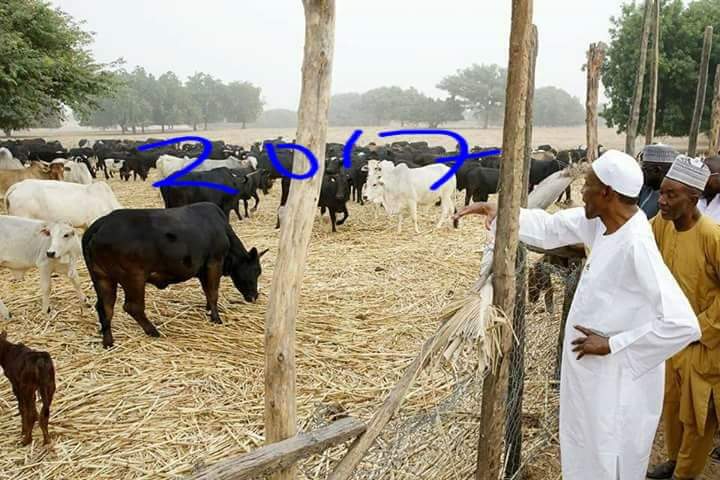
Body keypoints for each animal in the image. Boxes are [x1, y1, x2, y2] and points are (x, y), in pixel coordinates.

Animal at [82, 203, 268, 348]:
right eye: (256, 271)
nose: (254, 296)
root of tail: (101, 224)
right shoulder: (214, 263)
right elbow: (213, 292)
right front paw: (216, 318)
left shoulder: (202, 269)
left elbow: (207, 291)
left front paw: (208, 309)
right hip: (133, 278)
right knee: (132, 307)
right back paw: (154, 331)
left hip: (103, 278)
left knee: (105, 307)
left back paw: (108, 342)